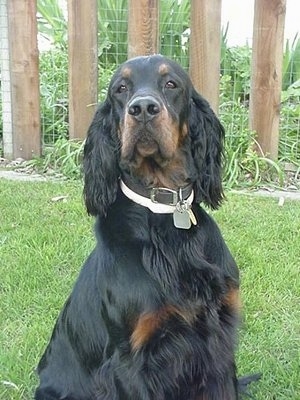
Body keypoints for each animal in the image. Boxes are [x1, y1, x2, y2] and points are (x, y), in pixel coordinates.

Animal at [34, 54, 256, 398]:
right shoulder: (130, 363)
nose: (142, 109)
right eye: (121, 88)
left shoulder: (218, 341)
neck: (164, 212)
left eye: (171, 83)